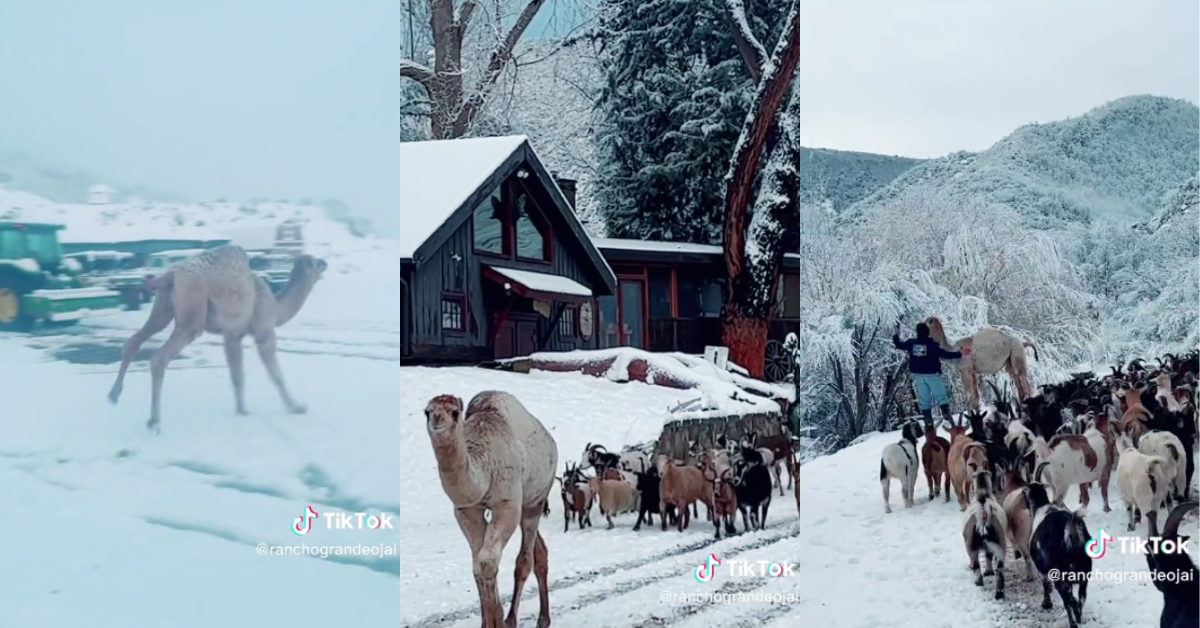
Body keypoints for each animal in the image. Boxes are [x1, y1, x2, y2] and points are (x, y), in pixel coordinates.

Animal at [105, 244, 324, 432]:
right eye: (315, 263)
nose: (325, 262)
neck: (277, 308)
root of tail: (170, 275)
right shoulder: (264, 331)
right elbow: (275, 373)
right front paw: (297, 407)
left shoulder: (232, 335)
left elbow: (237, 375)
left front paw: (242, 411)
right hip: (192, 317)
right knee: (160, 358)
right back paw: (154, 421)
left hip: (162, 308)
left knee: (134, 341)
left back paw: (113, 396)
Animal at [427, 391, 556, 624]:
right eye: (427, 411)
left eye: (454, 412)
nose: (436, 420)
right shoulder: (466, 509)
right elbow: (478, 565)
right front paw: (488, 621)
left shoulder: (507, 504)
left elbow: (488, 561)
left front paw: (500, 621)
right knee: (539, 550)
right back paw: (542, 619)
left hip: (535, 500)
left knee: (525, 559)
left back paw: (519, 620)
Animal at [960, 470, 1008, 600]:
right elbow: (988, 556)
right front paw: (989, 572)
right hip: (999, 548)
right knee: (999, 571)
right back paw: (999, 594)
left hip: (971, 548)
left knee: (976, 566)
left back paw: (979, 583)